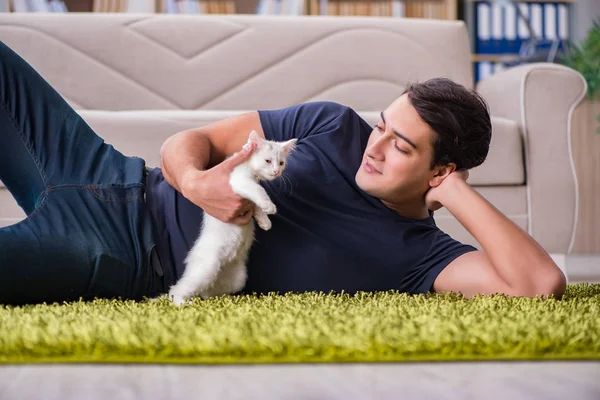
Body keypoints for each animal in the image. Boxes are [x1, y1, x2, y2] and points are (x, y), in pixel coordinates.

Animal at [165, 130, 296, 304]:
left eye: (281, 163)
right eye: (268, 161)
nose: (276, 171)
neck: (249, 168)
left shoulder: (248, 195)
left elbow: (255, 204)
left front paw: (264, 221)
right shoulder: (238, 181)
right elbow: (259, 191)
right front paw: (269, 206)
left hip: (238, 279)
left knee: (208, 292)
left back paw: (225, 300)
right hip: (205, 269)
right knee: (176, 290)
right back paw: (182, 302)